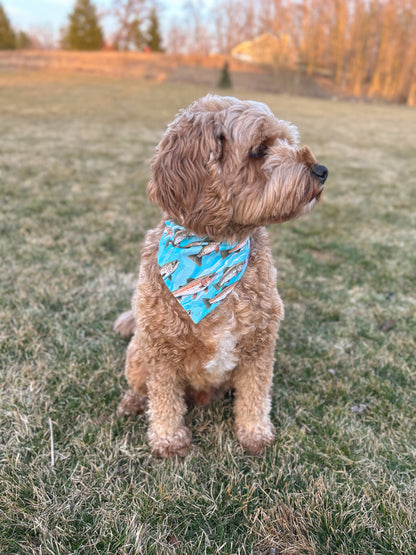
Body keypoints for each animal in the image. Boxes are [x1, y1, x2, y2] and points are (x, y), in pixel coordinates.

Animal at [114, 95, 328, 458]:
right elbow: (164, 399)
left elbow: (255, 394)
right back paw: (132, 401)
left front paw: (254, 433)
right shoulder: (161, 349)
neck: (218, 248)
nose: (321, 170)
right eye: (259, 150)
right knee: (143, 388)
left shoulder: (259, 344)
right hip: (138, 353)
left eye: (286, 140)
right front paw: (168, 440)